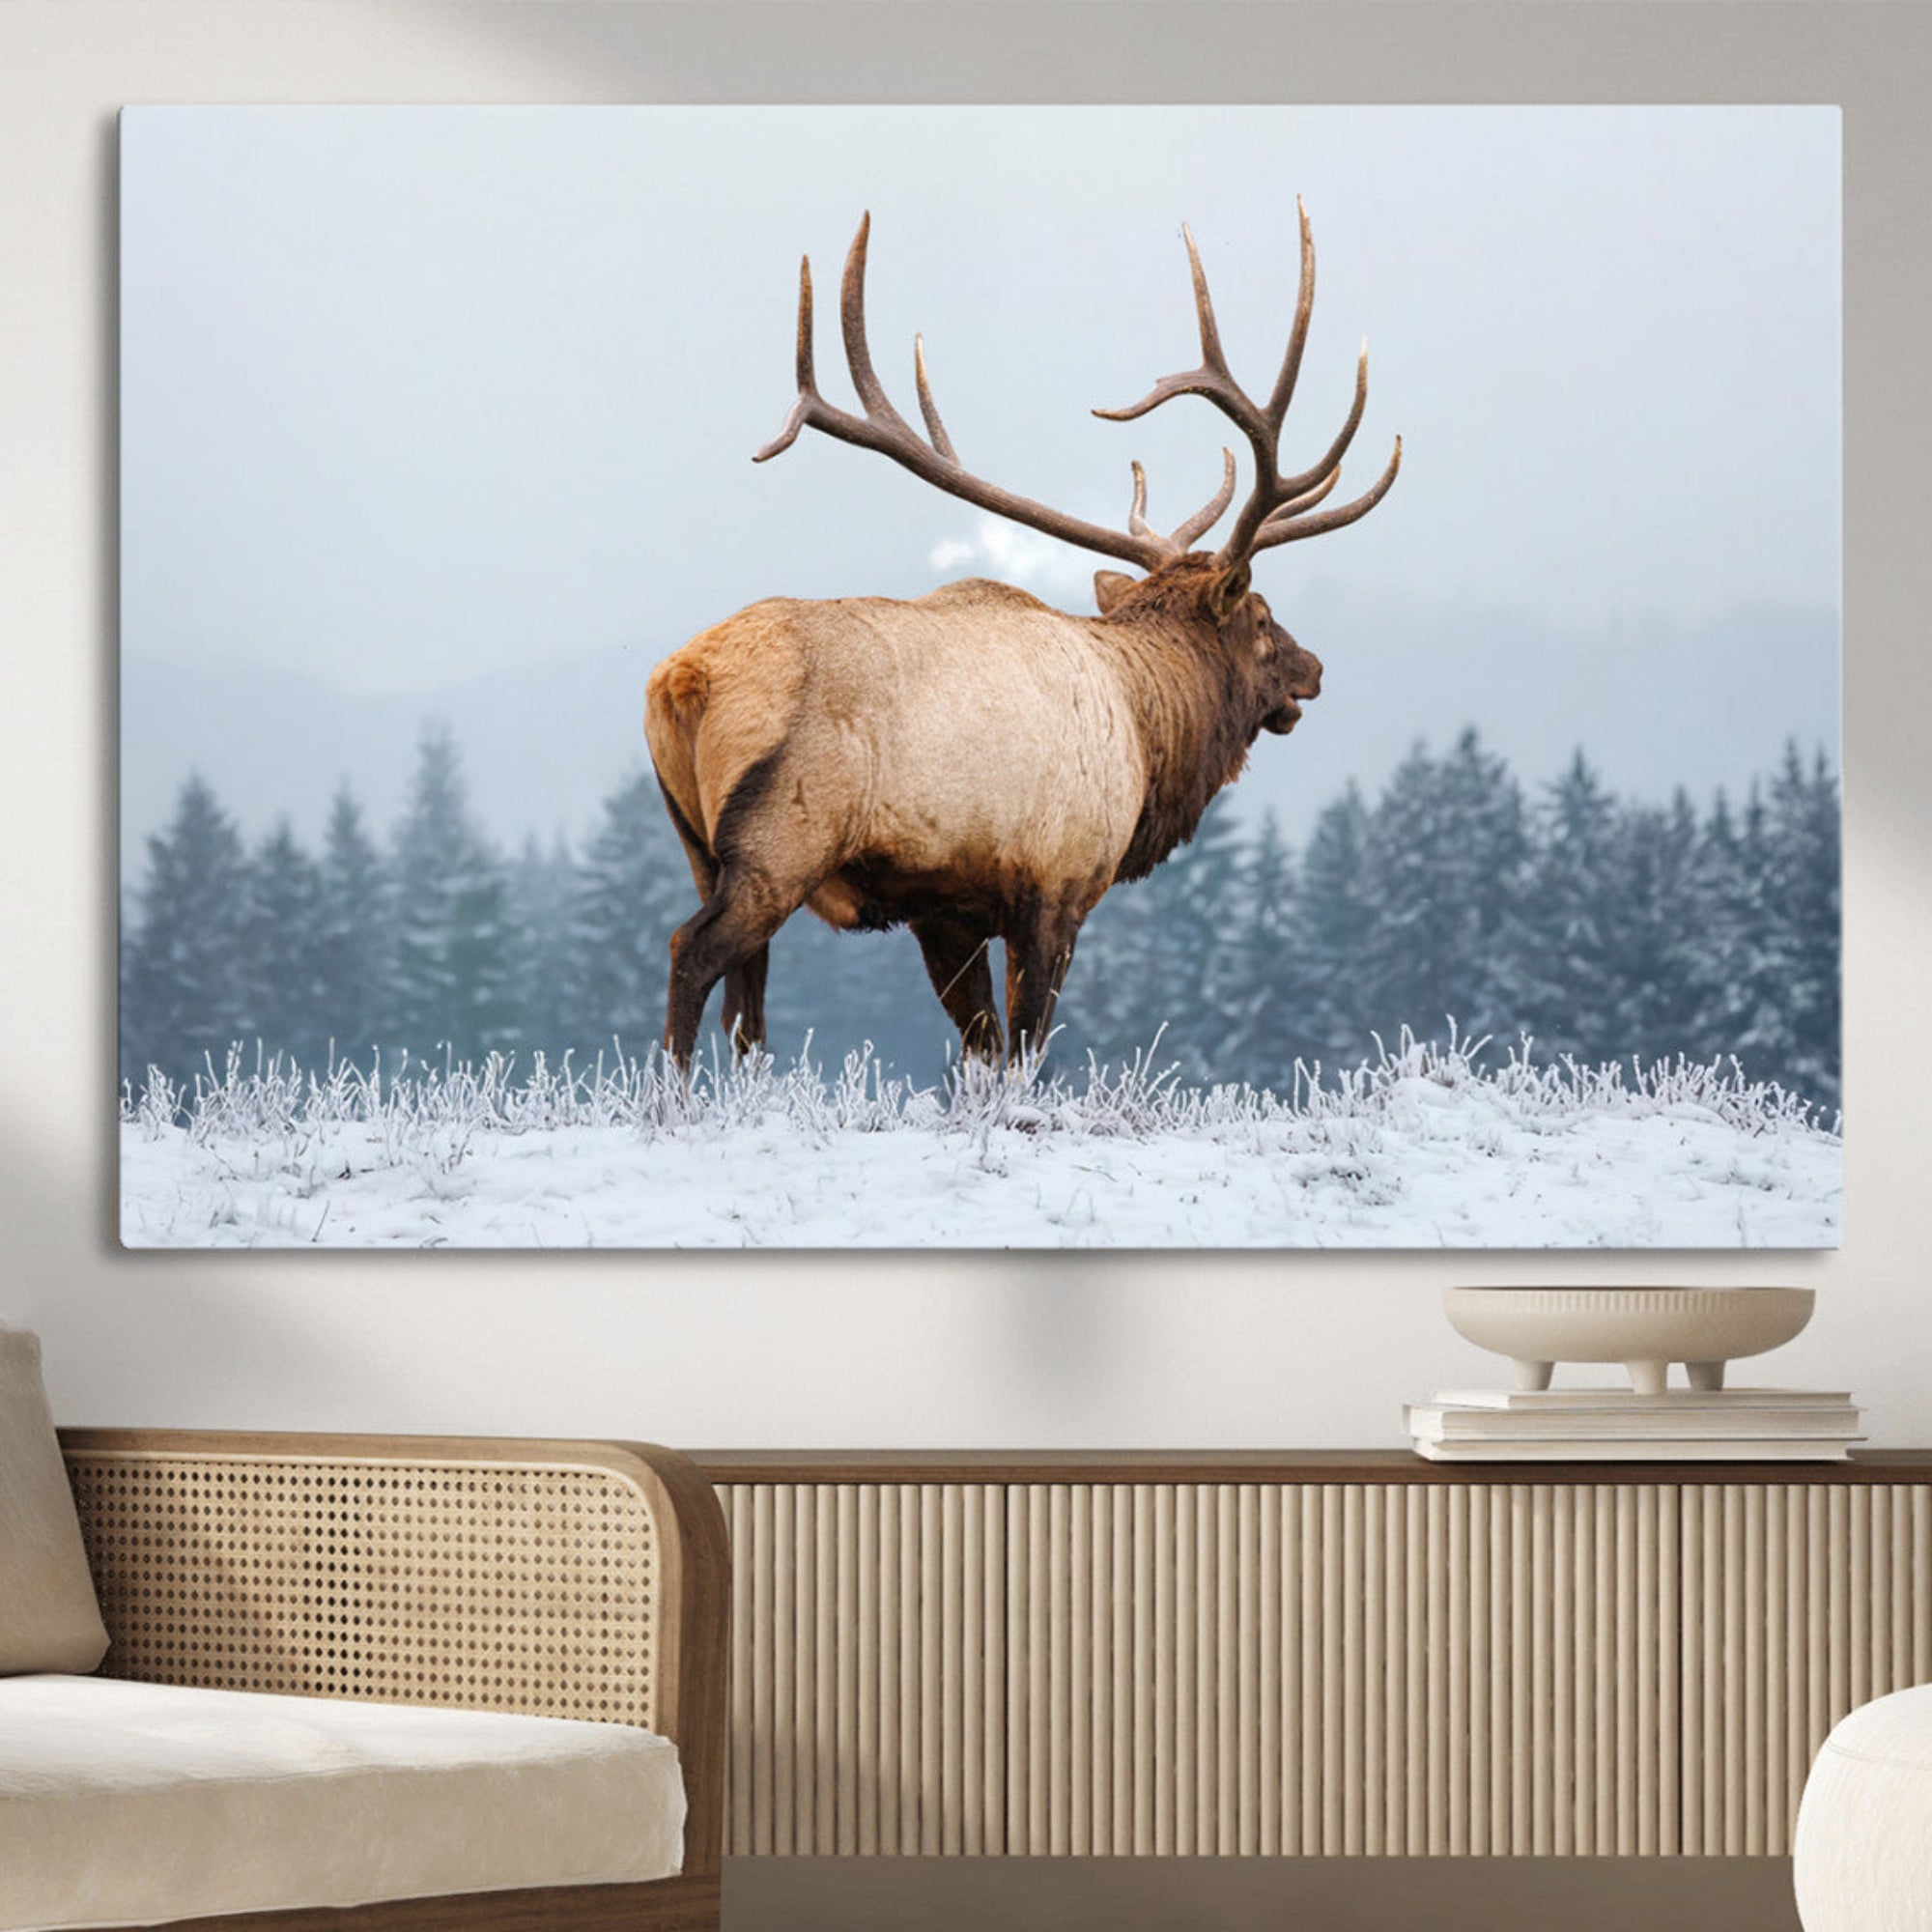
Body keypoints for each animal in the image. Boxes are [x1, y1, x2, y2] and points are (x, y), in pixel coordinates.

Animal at [645, 201, 1399, 1069]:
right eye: (1265, 618)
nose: (1315, 669)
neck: (1148, 734)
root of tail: (682, 680)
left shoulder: (946, 909)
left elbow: (982, 1046)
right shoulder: (1058, 885)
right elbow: (1029, 1048)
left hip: (696, 845)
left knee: (747, 1003)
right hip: (781, 840)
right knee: (692, 952)